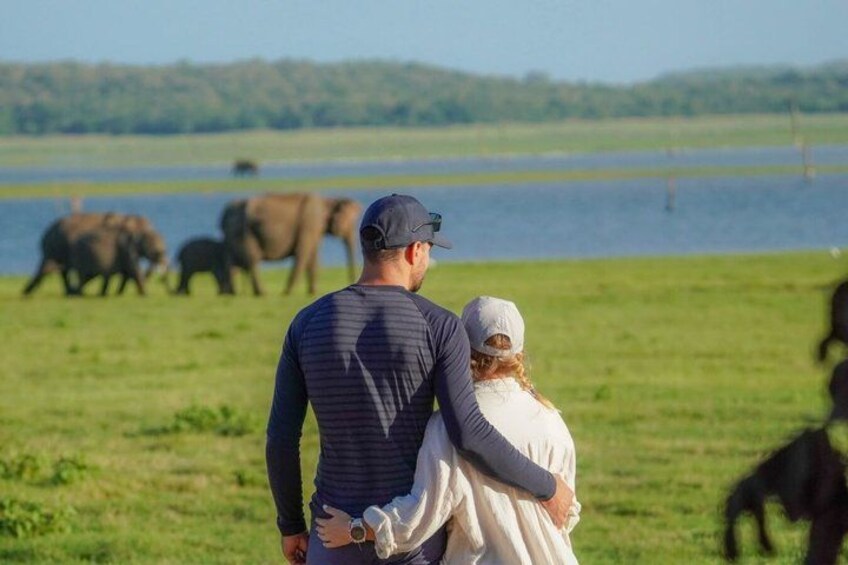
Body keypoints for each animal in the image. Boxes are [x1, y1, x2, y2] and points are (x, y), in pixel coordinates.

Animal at [23, 212, 167, 296]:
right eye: (148, 244)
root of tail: (46, 233)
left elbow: (127, 271)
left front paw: (119, 293)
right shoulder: (124, 247)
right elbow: (132, 269)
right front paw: (144, 294)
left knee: (60, 271)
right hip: (58, 247)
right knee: (57, 269)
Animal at [220, 194, 362, 296]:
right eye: (350, 223)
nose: (351, 283)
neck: (328, 201)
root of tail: (224, 214)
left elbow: (312, 257)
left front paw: (313, 292)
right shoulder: (309, 224)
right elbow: (303, 254)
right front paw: (288, 293)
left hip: (233, 234)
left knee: (231, 262)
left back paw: (230, 293)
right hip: (246, 232)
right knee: (252, 260)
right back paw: (262, 293)